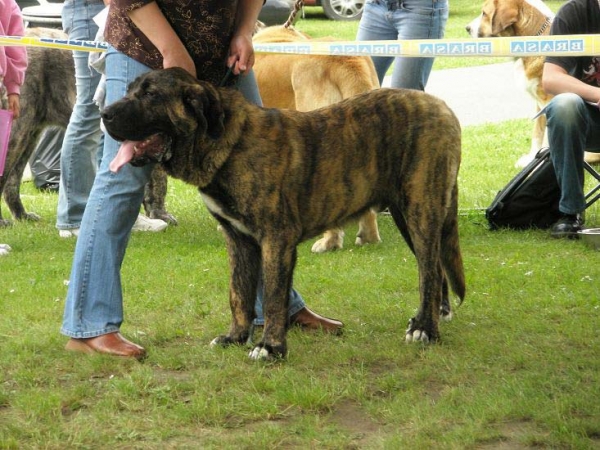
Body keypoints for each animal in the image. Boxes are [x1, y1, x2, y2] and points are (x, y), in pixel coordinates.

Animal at [105, 67, 466, 362]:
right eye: (130, 89)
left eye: (151, 95)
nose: (105, 113)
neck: (228, 144)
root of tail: (443, 107)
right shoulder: (239, 241)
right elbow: (239, 294)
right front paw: (236, 337)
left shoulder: (276, 240)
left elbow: (274, 297)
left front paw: (270, 347)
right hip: (410, 216)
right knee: (434, 267)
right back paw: (433, 316)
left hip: (420, 210)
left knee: (429, 271)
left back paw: (426, 329)